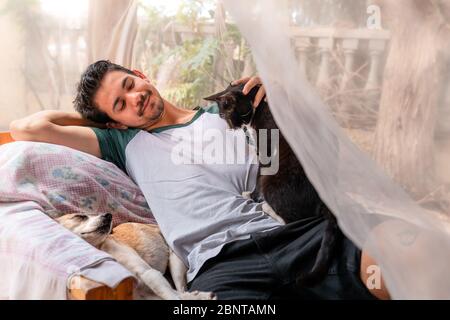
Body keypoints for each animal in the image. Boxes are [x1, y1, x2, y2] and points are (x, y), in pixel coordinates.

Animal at [56, 212, 216, 300]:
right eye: (80, 216)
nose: (108, 215)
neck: (101, 248)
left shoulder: (149, 273)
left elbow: (172, 296)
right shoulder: (144, 294)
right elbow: (171, 296)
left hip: (176, 265)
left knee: (180, 289)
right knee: (179, 292)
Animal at [204, 83, 342, 284]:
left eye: (224, 115)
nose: (230, 128)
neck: (257, 104)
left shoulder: (265, 152)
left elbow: (257, 177)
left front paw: (251, 195)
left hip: (273, 181)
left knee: (292, 219)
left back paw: (267, 207)